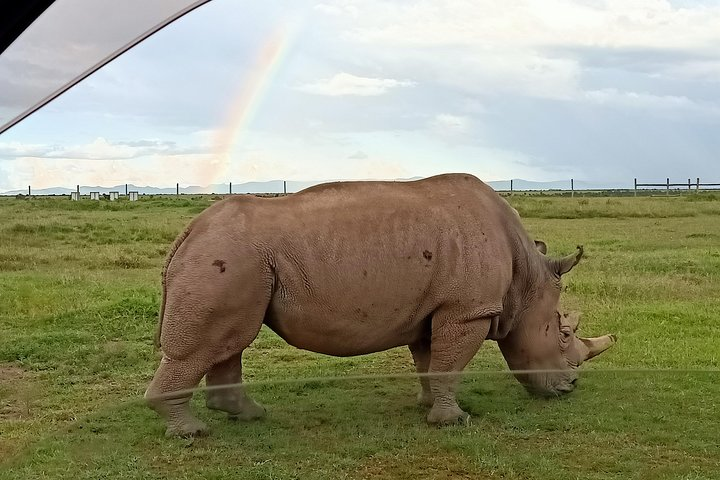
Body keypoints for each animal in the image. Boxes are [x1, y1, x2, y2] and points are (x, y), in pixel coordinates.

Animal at [145, 173, 615, 437]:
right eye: (564, 333)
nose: (571, 388)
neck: (526, 279)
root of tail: (189, 231)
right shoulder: (468, 309)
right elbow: (449, 363)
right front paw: (453, 422)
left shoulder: (436, 308)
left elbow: (430, 361)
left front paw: (428, 407)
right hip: (227, 257)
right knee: (215, 342)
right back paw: (192, 433)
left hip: (239, 261)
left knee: (230, 340)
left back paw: (249, 416)